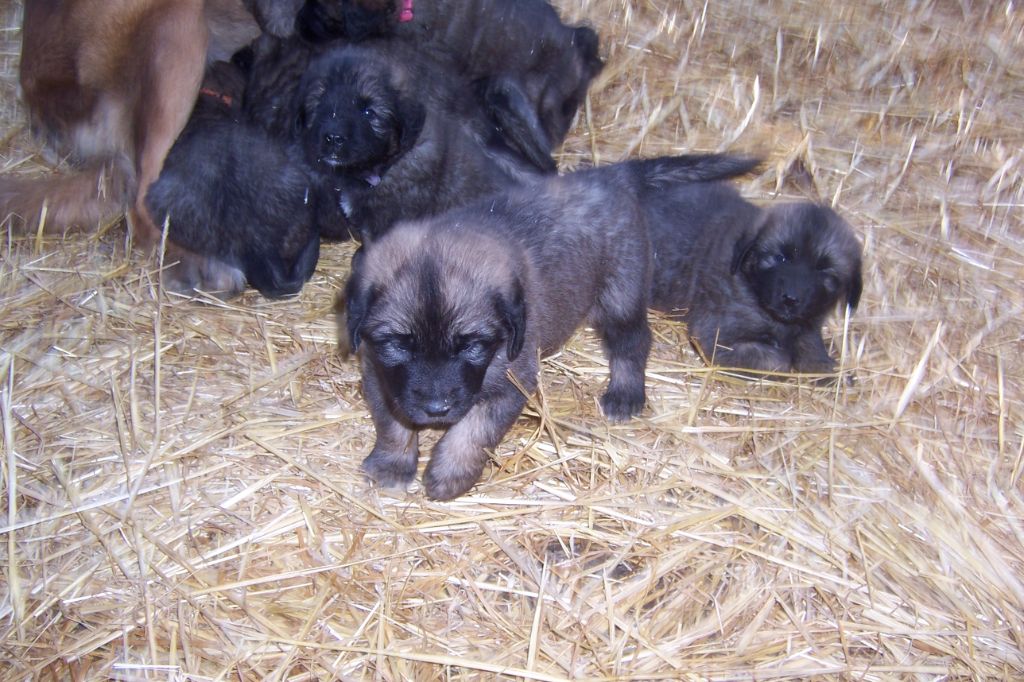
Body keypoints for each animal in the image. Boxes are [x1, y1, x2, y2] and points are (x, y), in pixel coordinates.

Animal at [346, 151, 761, 497]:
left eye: (473, 346)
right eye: (398, 344)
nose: (436, 409)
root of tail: (607, 175)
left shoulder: (511, 381)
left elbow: (473, 432)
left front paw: (450, 474)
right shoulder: (379, 374)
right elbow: (393, 423)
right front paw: (392, 465)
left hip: (620, 294)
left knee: (632, 342)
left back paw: (625, 394)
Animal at [647, 178, 864, 374]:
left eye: (824, 270)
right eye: (780, 257)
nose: (790, 299)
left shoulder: (808, 324)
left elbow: (811, 350)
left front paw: (829, 370)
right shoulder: (715, 336)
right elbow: (778, 361)